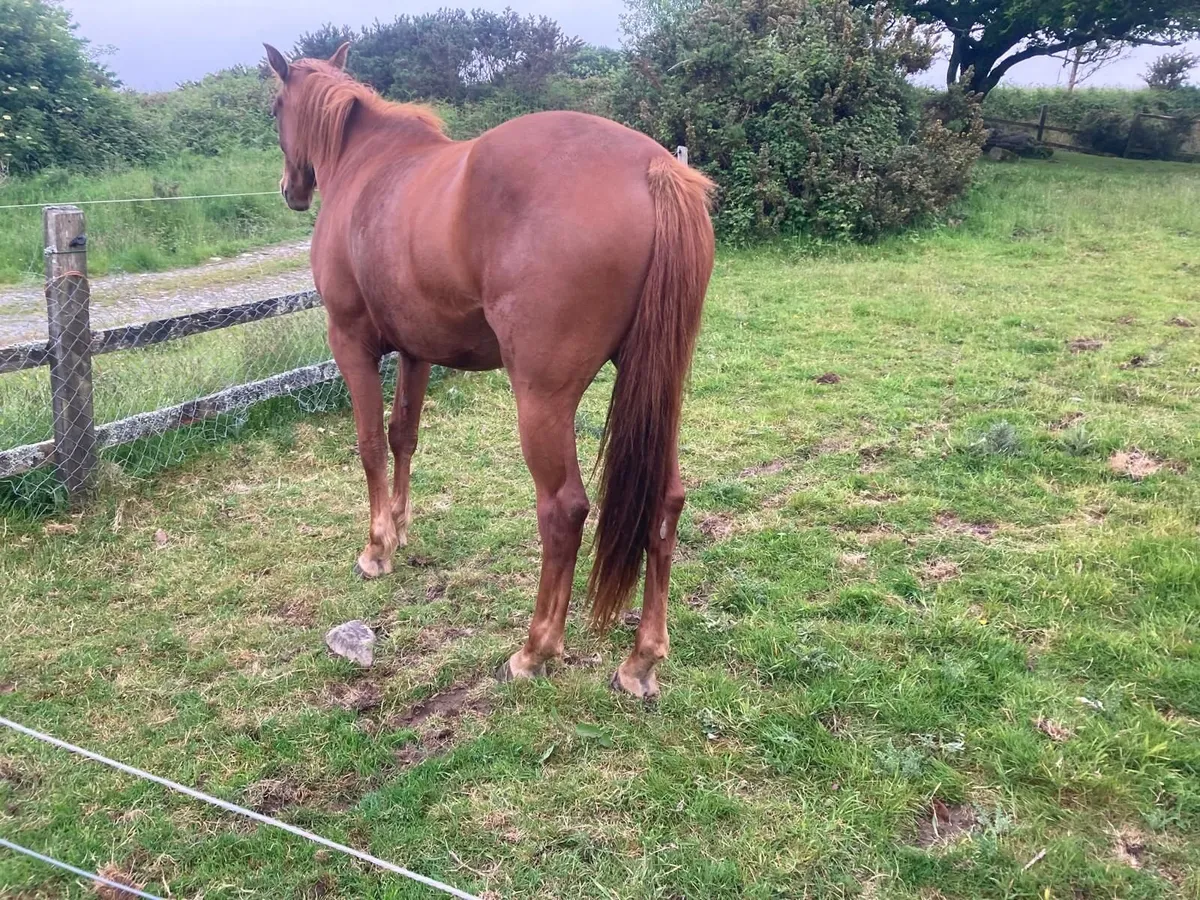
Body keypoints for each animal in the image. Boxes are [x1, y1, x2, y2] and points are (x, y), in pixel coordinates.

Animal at [263, 42, 714, 698]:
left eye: (275, 107)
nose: (290, 190)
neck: (367, 167)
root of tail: (654, 169)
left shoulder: (351, 343)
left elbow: (370, 443)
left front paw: (377, 549)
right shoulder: (416, 351)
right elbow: (403, 436)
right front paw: (400, 527)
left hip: (543, 398)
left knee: (564, 511)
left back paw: (534, 651)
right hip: (659, 389)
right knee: (666, 501)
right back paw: (640, 662)